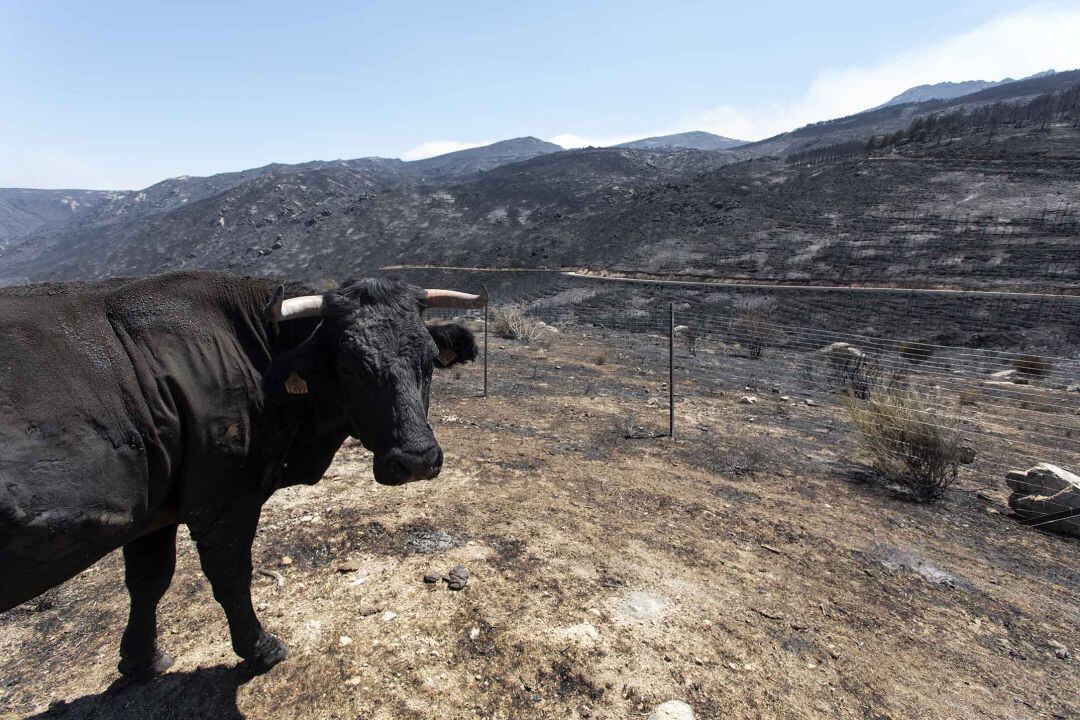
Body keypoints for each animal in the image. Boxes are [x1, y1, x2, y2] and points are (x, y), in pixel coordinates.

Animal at [0, 273, 481, 677]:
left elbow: (147, 581)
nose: (416, 459)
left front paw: (142, 660)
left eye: (430, 359)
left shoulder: (154, 512)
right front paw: (259, 648)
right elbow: (231, 576)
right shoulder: (224, 501)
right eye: (349, 366)